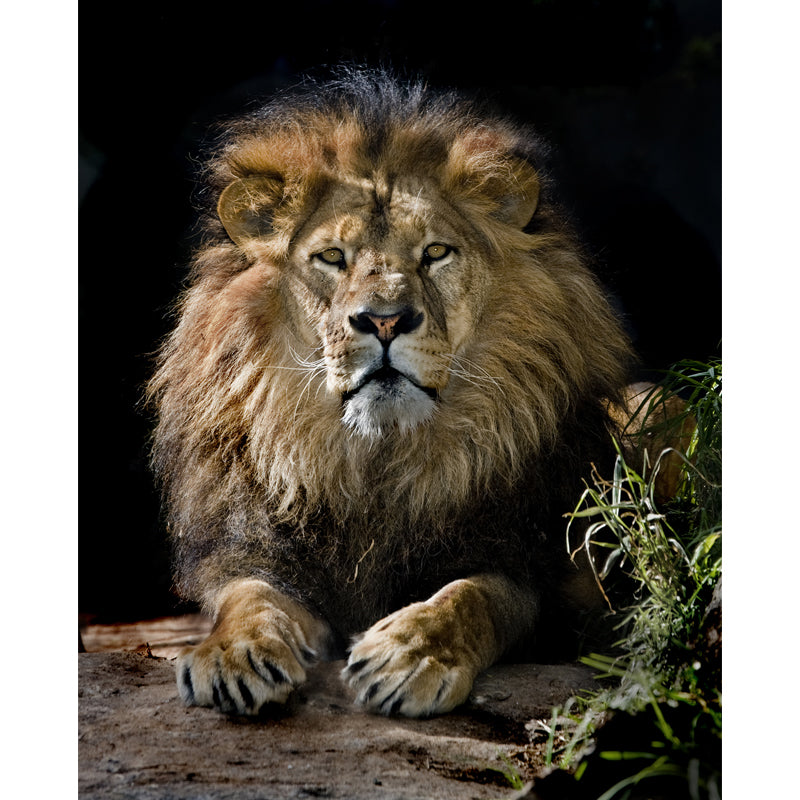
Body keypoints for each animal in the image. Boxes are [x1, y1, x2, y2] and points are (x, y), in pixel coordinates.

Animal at [148, 68, 637, 718]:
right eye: (332, 257)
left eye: (436, 253)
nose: (383, 321)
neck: (376, 462)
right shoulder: (258, 550)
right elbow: (250, 597)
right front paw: (235, 652)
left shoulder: (528, 569)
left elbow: (470, 597)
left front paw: (409, 655)